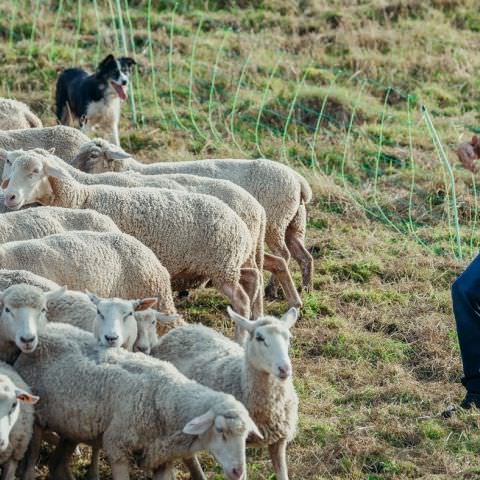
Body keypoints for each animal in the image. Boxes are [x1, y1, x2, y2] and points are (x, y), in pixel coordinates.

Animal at [14, 322, 262, 480]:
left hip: (72, 427)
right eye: (219, 430)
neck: (164, 396)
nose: (239, 472)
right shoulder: (117, 447)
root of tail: (48, 330)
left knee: (56, 465)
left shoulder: (162, 458)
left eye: (245, 435)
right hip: (37, 422)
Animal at [73, 138, 316, 292]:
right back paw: (305, 288)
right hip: (293, 222)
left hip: (275, 221)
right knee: (302, 255)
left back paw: (273, 289)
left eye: (93, 155)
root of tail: (299, 181)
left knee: (284, 255)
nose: (69, 166)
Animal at [152, 308, 298, 480]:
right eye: (259, 338)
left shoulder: (279, 441)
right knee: (188, 456)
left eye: (288, 337)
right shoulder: (237, 441)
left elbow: (283, 474)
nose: (285, 369)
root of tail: (180, 330)